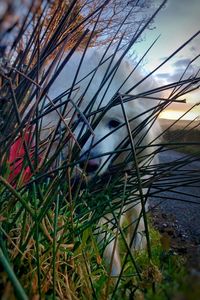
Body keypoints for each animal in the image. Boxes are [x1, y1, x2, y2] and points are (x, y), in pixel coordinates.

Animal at [43, 48, 159, 274]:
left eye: (114, 123)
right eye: (78, 119)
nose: (88, 164)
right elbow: (106, 249)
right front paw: (113, 276)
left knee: (138, 219)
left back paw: (139, 248)